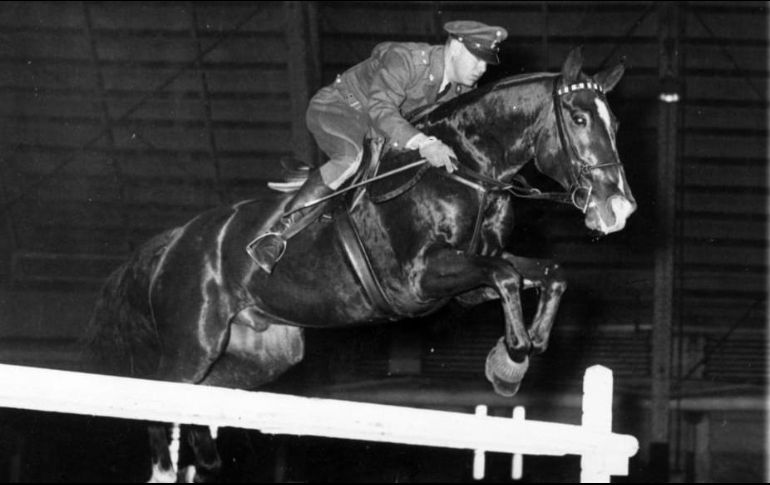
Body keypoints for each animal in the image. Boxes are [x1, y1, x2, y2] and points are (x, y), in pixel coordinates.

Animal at [85, 47, 635, 482]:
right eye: (580, 120)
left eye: (615, 123)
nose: (619, 210)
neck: (468, 171)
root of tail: (173, 242)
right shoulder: (420, 278)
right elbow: (506, 277)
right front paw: (512, 359)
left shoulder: (471, 279)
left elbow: (545, 273)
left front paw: (518, 356)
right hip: (194, 342)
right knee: (157, 395)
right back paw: (163, 468)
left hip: (258, 355)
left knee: (202, 399)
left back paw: (206, 457)